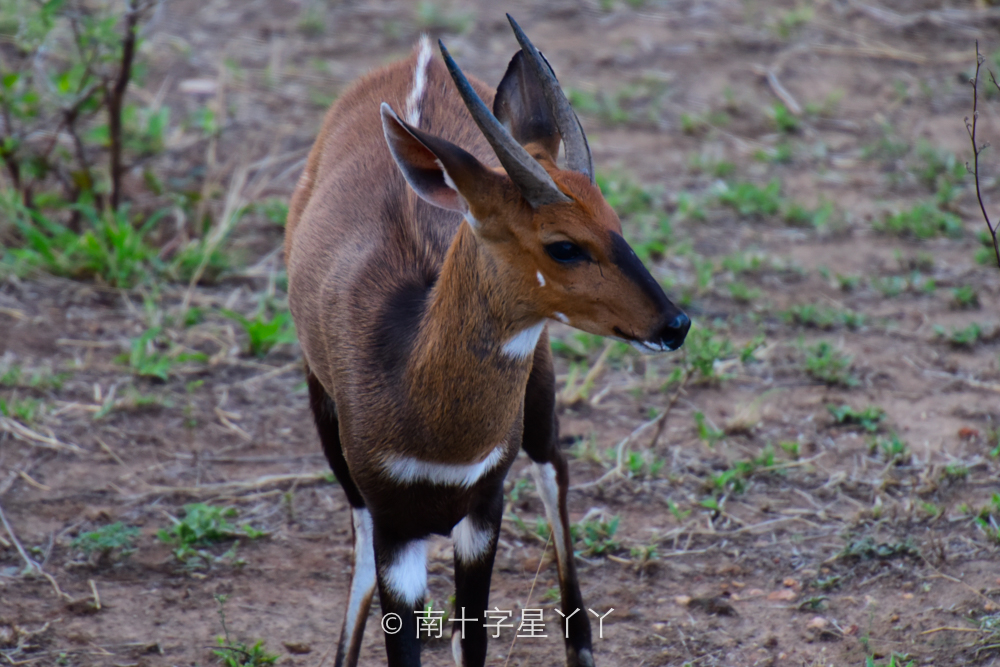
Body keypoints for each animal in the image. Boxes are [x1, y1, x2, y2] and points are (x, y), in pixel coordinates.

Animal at [282, 15, 688, 667]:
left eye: (616, 224)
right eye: (563, 245)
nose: (674, 324)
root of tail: (419, 55)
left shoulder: (483, 505)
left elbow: (469, 637)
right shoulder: (394, 521)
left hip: (539, 395)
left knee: (555, 470)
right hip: (324, 413)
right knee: (359, 537)